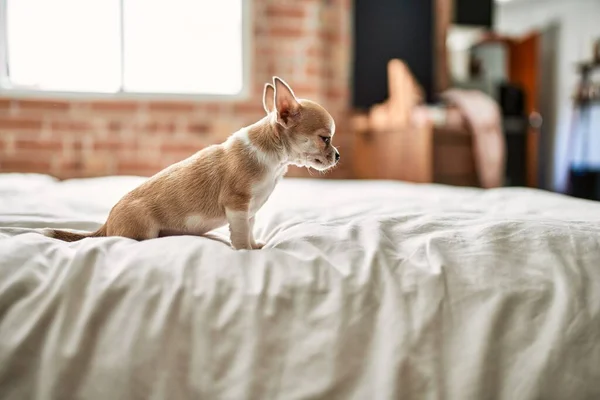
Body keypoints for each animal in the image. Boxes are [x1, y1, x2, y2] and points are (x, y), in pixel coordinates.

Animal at [43, 76, 338, 248]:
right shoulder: (237, 206)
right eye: (325, 138)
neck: (275, 158)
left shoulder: (249, 211)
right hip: (143, 230)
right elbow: (240, 235)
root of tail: (105, 225)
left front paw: (256, 246)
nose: (337, 155)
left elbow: (250, 231)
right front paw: (246, 252)